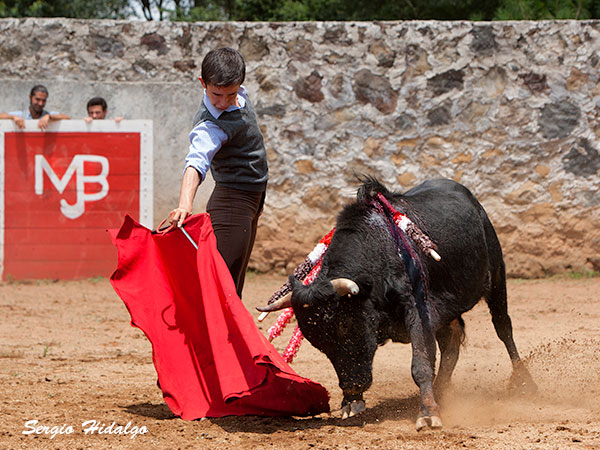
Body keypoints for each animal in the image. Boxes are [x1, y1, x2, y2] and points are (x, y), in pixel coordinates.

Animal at [258, 178, 536, 430]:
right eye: (317, 341)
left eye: (345, 326)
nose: (352, 386)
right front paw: (351, 403)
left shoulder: (418, 311)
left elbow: (421, 364)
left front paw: (428, 415)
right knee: (452, 342)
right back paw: (441, 391)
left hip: (497, 276)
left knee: (503, 328)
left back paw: (525, 383)